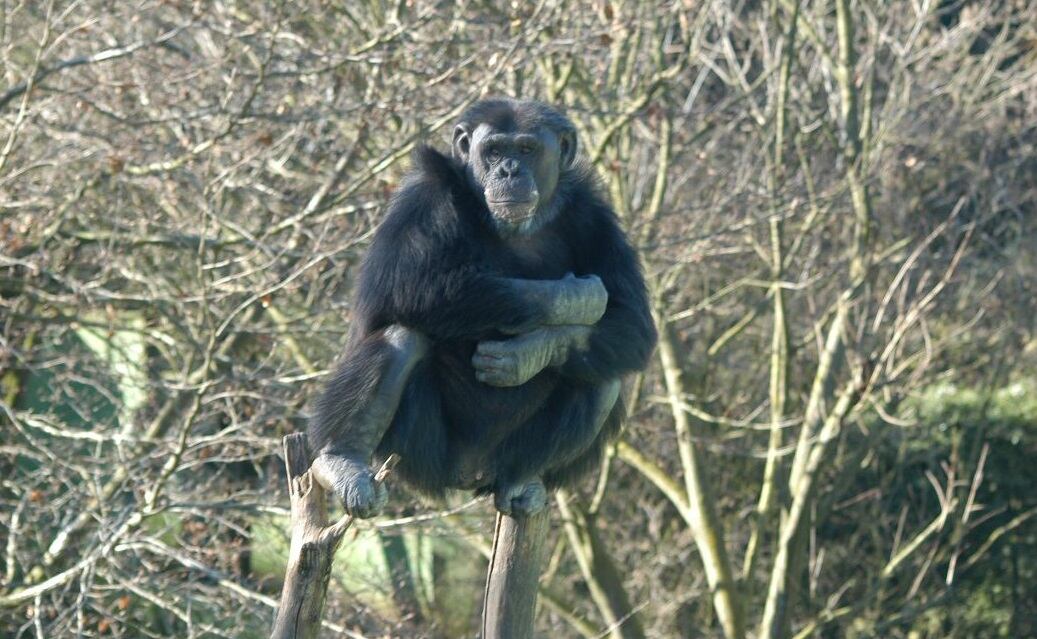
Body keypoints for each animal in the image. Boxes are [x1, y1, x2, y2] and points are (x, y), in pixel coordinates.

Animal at [302, 99, 655, 518]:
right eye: (493, 151)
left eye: (526, 150)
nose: (508, 170)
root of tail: (468, 479)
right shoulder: (425, 194)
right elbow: (402, 283)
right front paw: (575, 297)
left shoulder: (597, 218)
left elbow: (632, 324)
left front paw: (530, 353)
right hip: (420, 460)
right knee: (401, 338)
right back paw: (343, 461)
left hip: (502, 463)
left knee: (600, 374)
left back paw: (522, 481)